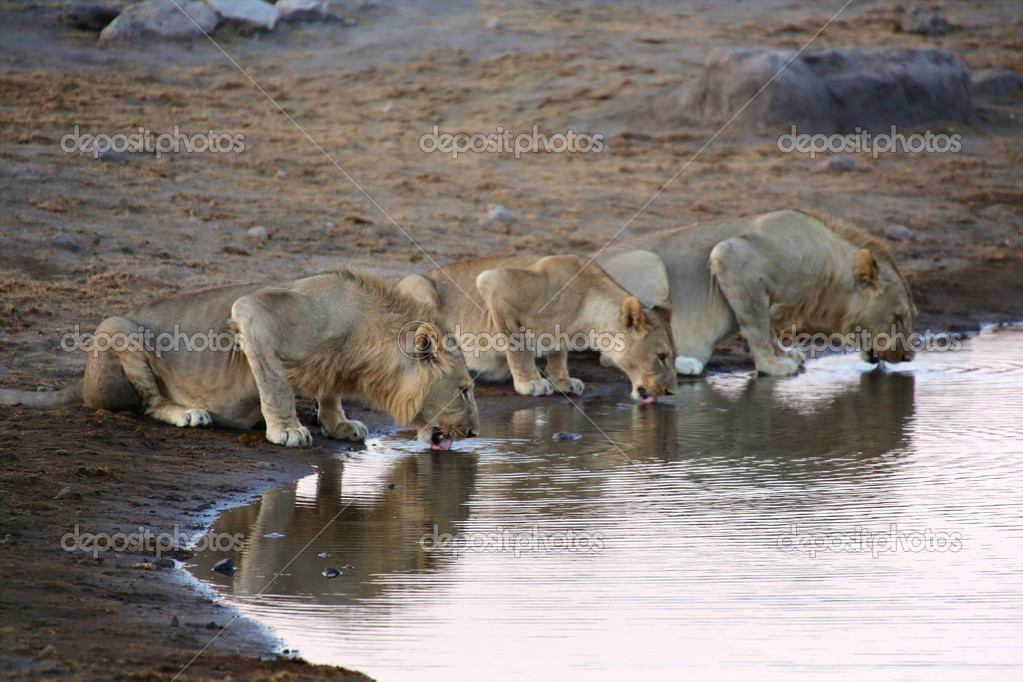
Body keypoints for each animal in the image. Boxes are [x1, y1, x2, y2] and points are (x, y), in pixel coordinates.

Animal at [0, 269, 478, 449]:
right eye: (465, 390)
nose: (475, 432)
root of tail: (77, 382)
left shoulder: (333, 370)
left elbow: (329, 392)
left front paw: (339, 424)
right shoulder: (253, 313)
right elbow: (276, 385)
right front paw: (288, 431)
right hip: (116, 327)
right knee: (150, 403)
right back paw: (188, 413)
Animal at [396, 253, 679, 402]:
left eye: (673, 356)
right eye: (661, 357)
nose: (671, 392)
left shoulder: (562, 333)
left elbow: (559, 352)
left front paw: (562, 381)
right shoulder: (493, 281)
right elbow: (518, 347)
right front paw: (530, 383)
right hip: (420, 288)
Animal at [593, 209, 920, 376]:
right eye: (898, 317)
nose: (908, 357)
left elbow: (768, 327)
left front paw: (785, 353)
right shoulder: (732, 256)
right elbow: (756, 324)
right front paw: (773, 365)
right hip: (650, 262)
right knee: (614, 354)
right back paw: (686, 363)